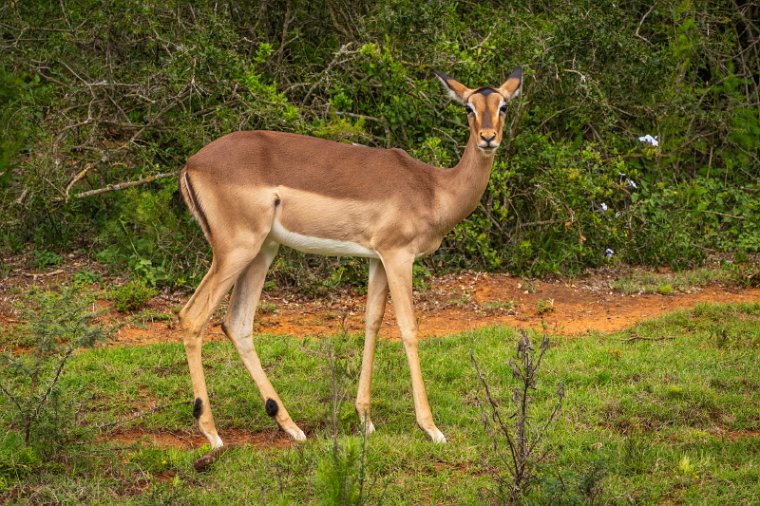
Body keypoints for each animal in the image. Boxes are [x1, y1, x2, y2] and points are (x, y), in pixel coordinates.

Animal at [178, 66, 524, 446]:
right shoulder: (399, 256)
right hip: (236, 250)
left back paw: (292, 427)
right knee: (193, 318)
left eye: (503, 105)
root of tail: (191, 164)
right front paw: (431, 428)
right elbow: (408, 327)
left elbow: (372, 321)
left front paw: (365, 419)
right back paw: (212, 434)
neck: (434, 188)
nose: (488, 138)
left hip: (262, 251)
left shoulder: (377, 259)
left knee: (237, 324)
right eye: (469, 108)